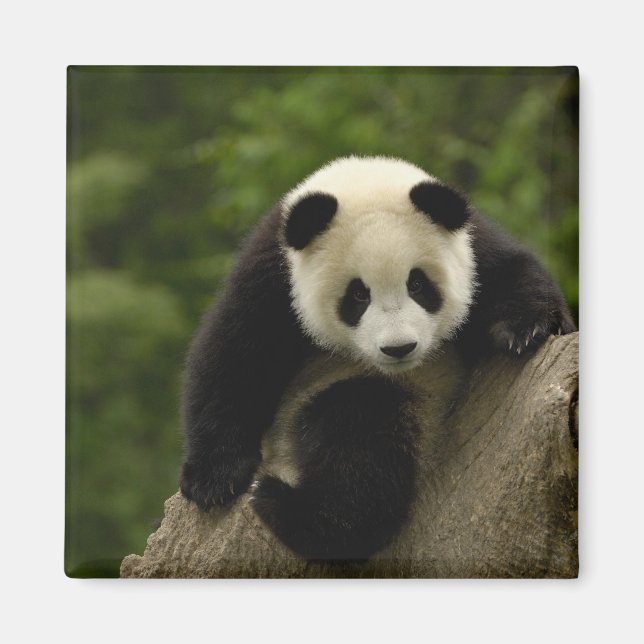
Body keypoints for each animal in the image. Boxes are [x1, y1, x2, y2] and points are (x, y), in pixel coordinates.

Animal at [179, 156, 575, 562]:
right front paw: (214, 480)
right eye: (358, 295)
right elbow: (235, 355)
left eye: (417, 285)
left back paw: (291, 508)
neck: (362, 179)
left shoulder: (472, 247)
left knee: (361, 426)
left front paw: (526, 329)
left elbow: (515, 272)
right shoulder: (272, 270)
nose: (398, 348)